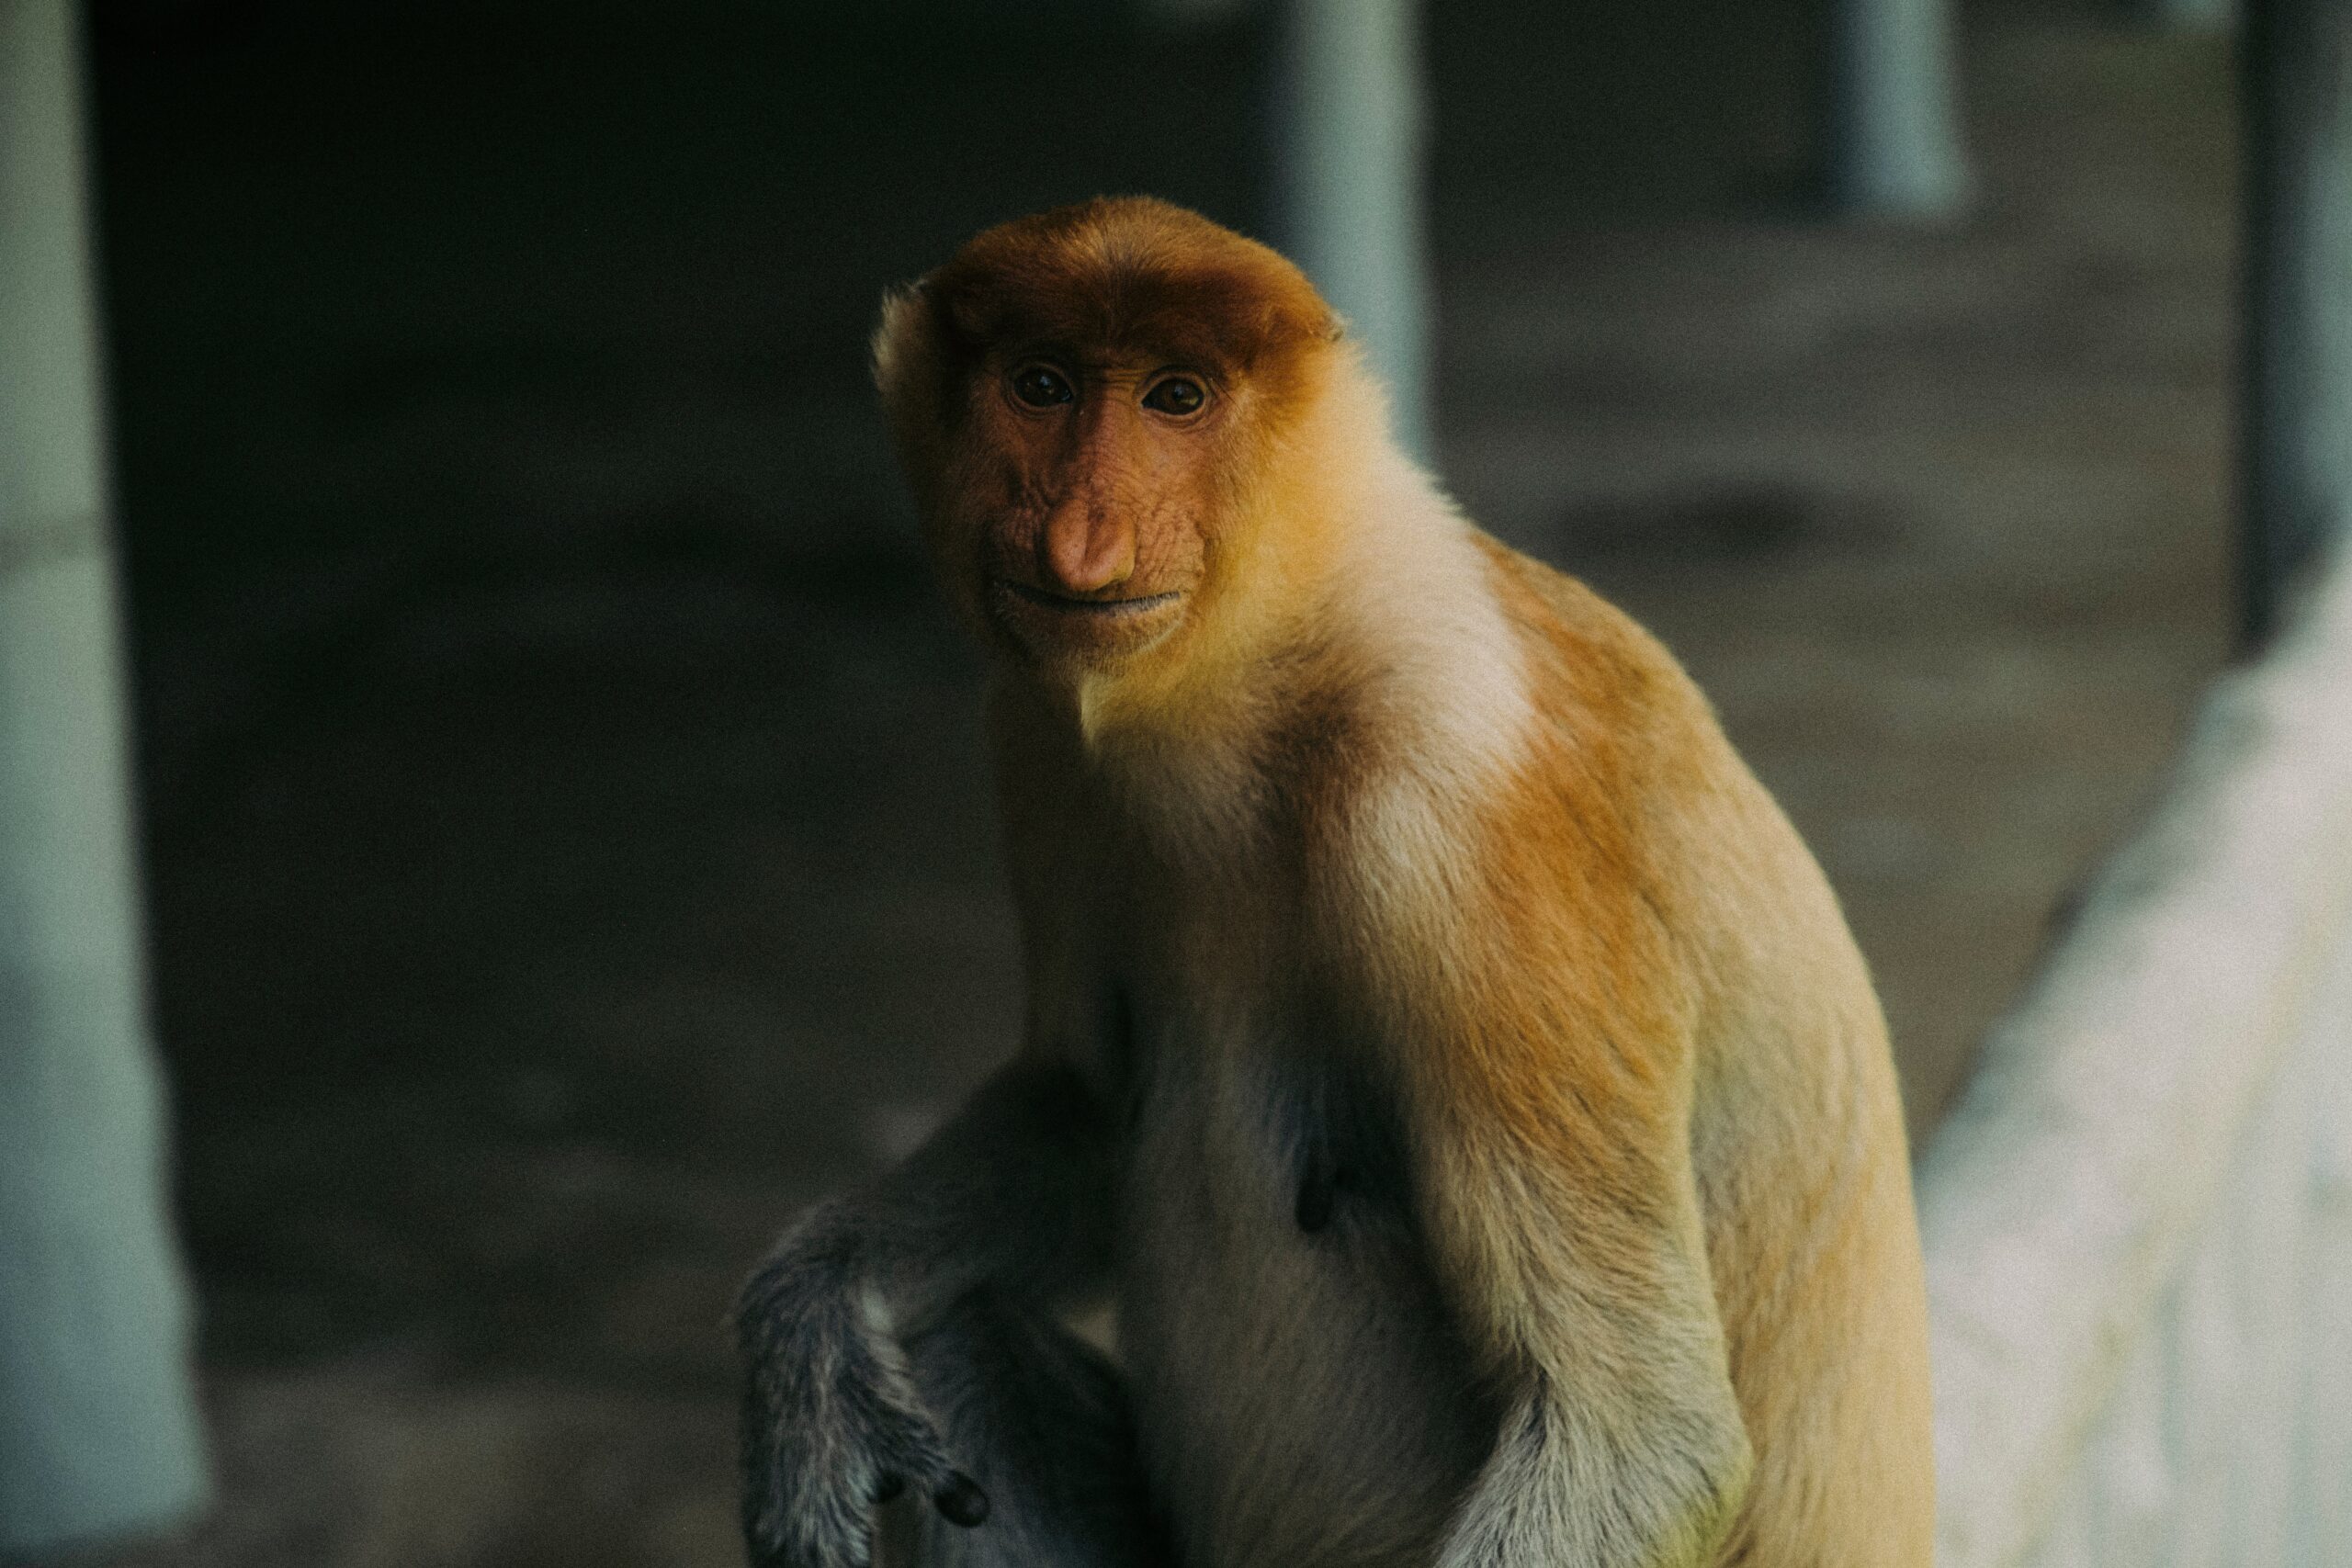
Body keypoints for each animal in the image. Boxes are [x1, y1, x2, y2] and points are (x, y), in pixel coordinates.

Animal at [742, 196, 1938, 1568]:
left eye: (1177, 397)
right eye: (1040, 385)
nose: (1080, 545)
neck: (1277, 652)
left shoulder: (1464, 809)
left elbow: (1638, 1430)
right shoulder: (1037, 736)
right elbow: (1082, 1101)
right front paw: (811, 1319)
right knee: (955, 1329)